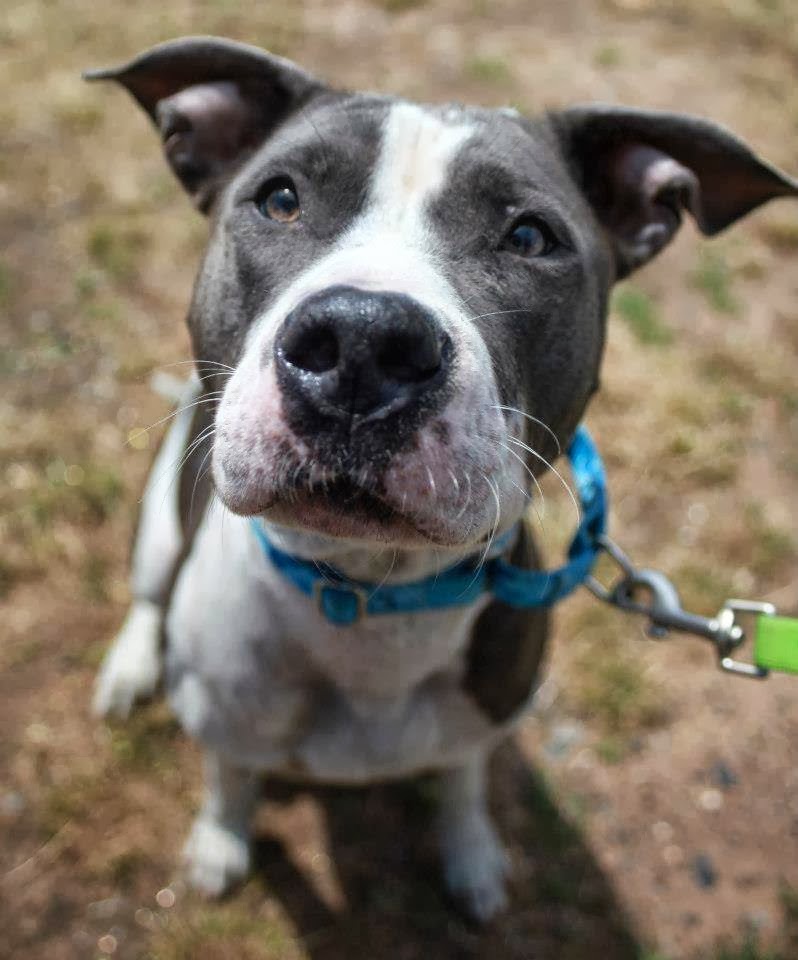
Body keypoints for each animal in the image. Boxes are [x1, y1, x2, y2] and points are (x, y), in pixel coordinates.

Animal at [87, 37, 798, 924]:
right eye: (280, 199)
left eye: (530, 237)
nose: (362, 343)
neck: (369, 602)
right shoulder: (228, 721)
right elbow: (229, 780)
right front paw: (220, 845)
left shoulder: (479, 724)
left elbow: (462, 786)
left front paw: (474, 862)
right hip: (159, 525)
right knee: (148, 597)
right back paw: (129, 669)